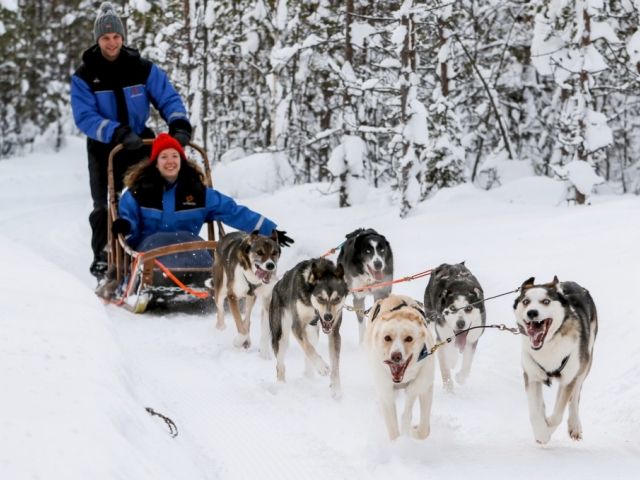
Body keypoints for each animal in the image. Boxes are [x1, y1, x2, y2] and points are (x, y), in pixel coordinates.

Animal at [364, 294, 436, 440]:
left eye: (409, 338)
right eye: (387, 338)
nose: (396, 356)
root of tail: (393, 296)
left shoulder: (425, 387)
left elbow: (423, 431)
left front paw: (413, 431)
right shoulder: (386, 393)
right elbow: (393, 429)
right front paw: (398, 443)